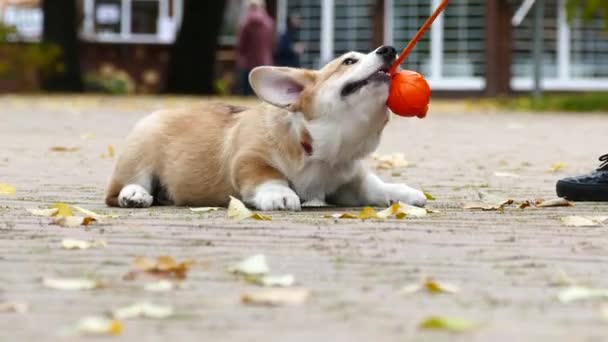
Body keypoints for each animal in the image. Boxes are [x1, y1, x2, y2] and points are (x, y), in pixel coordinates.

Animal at [104, 46, 428, 211]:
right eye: (349, 61)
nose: (389, 49)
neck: (322, 150)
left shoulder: (349, 181)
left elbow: (374, 186)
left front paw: (404, 193)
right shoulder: (249, 160)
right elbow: (268, 175)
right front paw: (279, 195)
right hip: (140, 151)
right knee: (120, 188)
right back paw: (134, 195)